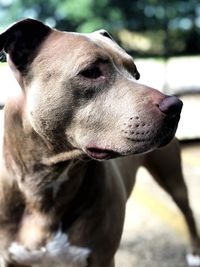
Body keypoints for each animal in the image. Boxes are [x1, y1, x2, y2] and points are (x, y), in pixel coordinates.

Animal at [0, 18, 199, 267]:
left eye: (136, 74)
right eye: (91, 72)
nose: (175, 106)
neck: (44, 179)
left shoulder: (101, 258)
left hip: (172, 176)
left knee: (187, 210)